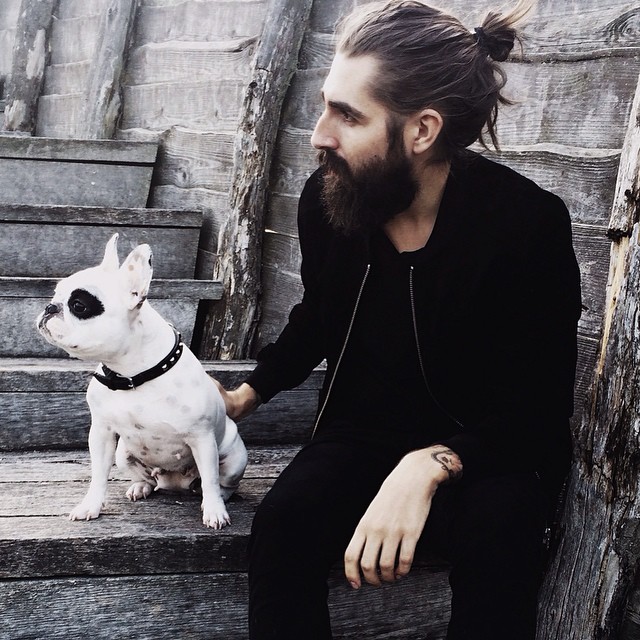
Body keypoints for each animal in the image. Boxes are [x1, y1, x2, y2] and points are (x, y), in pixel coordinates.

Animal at [36, 232, 248, 528]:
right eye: (55, 293)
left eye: (79, 306)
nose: (49, 307)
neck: (132, 374)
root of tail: (175, 483)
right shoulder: (102, 433)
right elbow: (98, 475)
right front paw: (90, 505)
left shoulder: (203, 439)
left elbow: (210, 479)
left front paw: (215, 511)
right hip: (123, 454)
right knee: (146, 477)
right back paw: (140, 487)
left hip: (236, 458)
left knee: (221, 482)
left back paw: (218, 498)